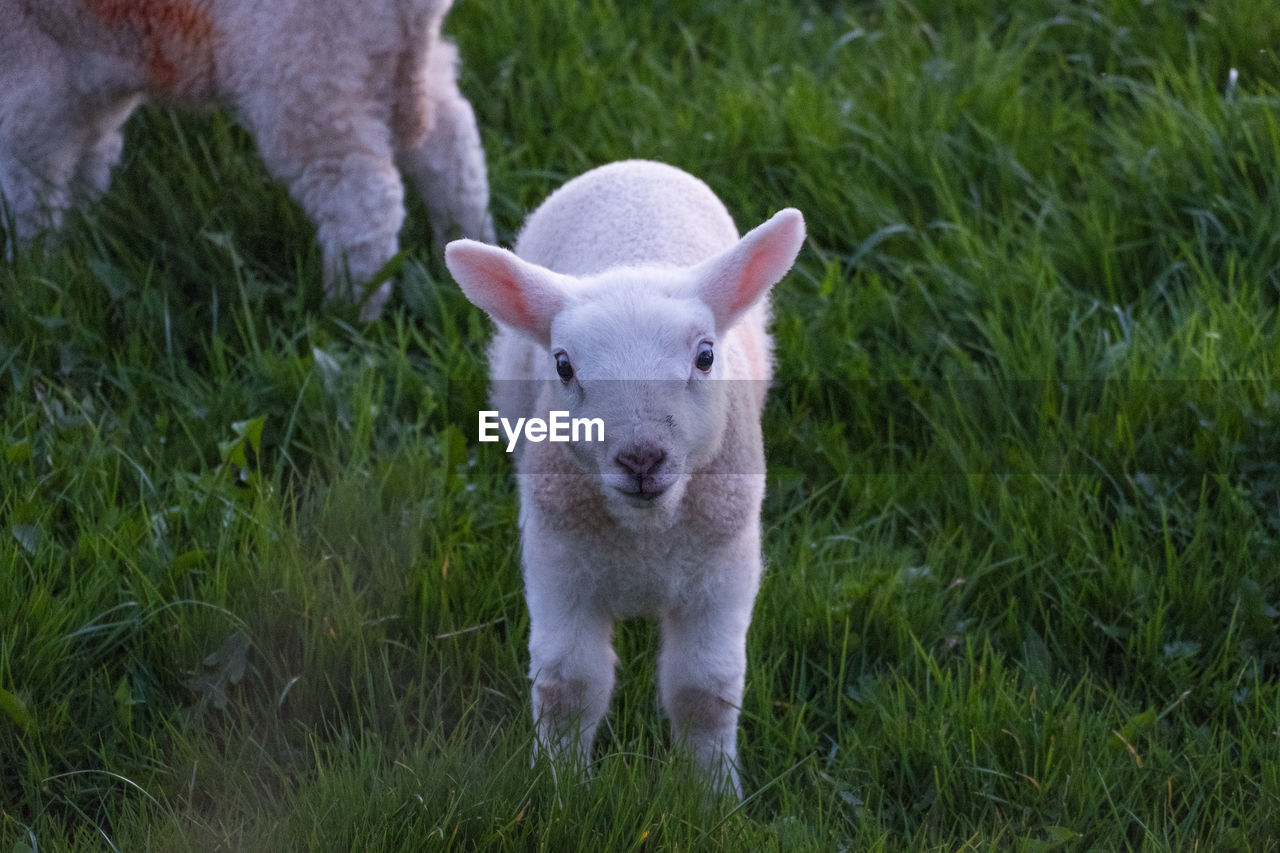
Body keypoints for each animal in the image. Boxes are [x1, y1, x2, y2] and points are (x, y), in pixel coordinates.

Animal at [0, 0, 491, 318]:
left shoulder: (29, 71)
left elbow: (30, 179)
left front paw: (30, 269)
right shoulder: (86, 65)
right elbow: (88, 153)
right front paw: (71, 233)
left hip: (306, 67)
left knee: (363, 198)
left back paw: (348, 308)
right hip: (389, 61)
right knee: (452, 144)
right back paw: (464, 251)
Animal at [445, 161, 803, 799]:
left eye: (705, 357)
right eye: (564, 365)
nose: (641, 459)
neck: (645, 538)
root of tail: (633, 166)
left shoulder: (723, 573)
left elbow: (704, 690)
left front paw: (713, 795)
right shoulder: (559, 565)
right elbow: (568, 685)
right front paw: (559, 788)